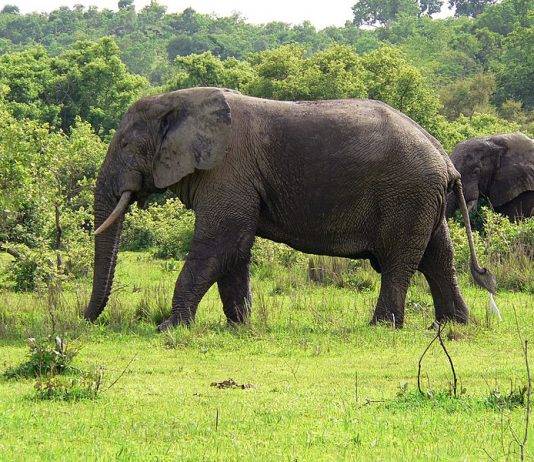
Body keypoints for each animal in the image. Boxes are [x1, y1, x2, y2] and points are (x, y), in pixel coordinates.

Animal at [85, 87, 498, 332]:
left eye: (124, 144)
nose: (85, 320)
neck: (177, 101)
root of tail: (446, 161)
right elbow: (235, 249)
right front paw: (240, 328)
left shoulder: (228, 170)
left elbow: (220, 241)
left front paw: (169, 329)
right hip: (424, 198)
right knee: (438, 257)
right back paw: (453, 327)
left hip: (406, 194)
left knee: (399, 261)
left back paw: (382, 327)